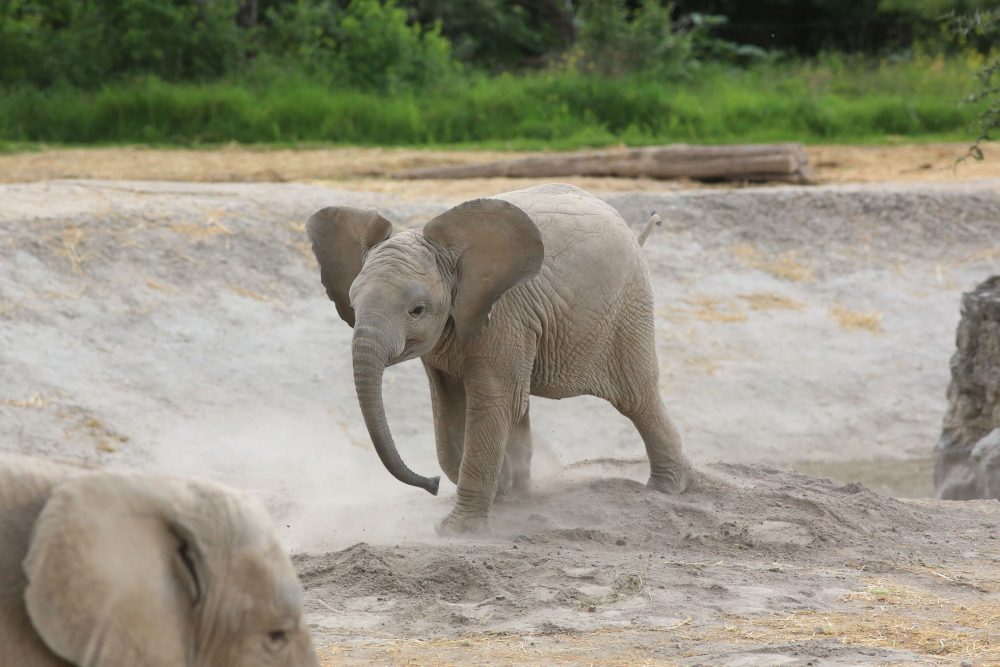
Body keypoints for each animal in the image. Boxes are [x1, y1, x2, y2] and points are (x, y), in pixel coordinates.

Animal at [308, 184, 692, 536]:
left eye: (416, 310)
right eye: (353, 306)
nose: (431, 484)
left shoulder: (504, 315)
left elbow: (493, 403)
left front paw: (457, 531)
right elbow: (449, 409)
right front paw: (499, 489)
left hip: (627, 309)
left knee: (636, 397)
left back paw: (666, 489)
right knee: (524, 408)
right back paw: (522, 494)